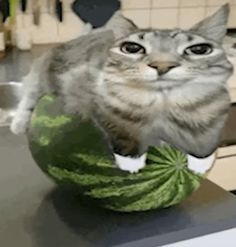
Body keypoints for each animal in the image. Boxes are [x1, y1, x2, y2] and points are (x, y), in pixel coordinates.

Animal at [10, 4, 232, 174]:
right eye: (133, 49)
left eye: (199, 50)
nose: (162, 66)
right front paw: (132, 162)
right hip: (45, 71)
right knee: (30, 93)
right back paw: (19, 123)